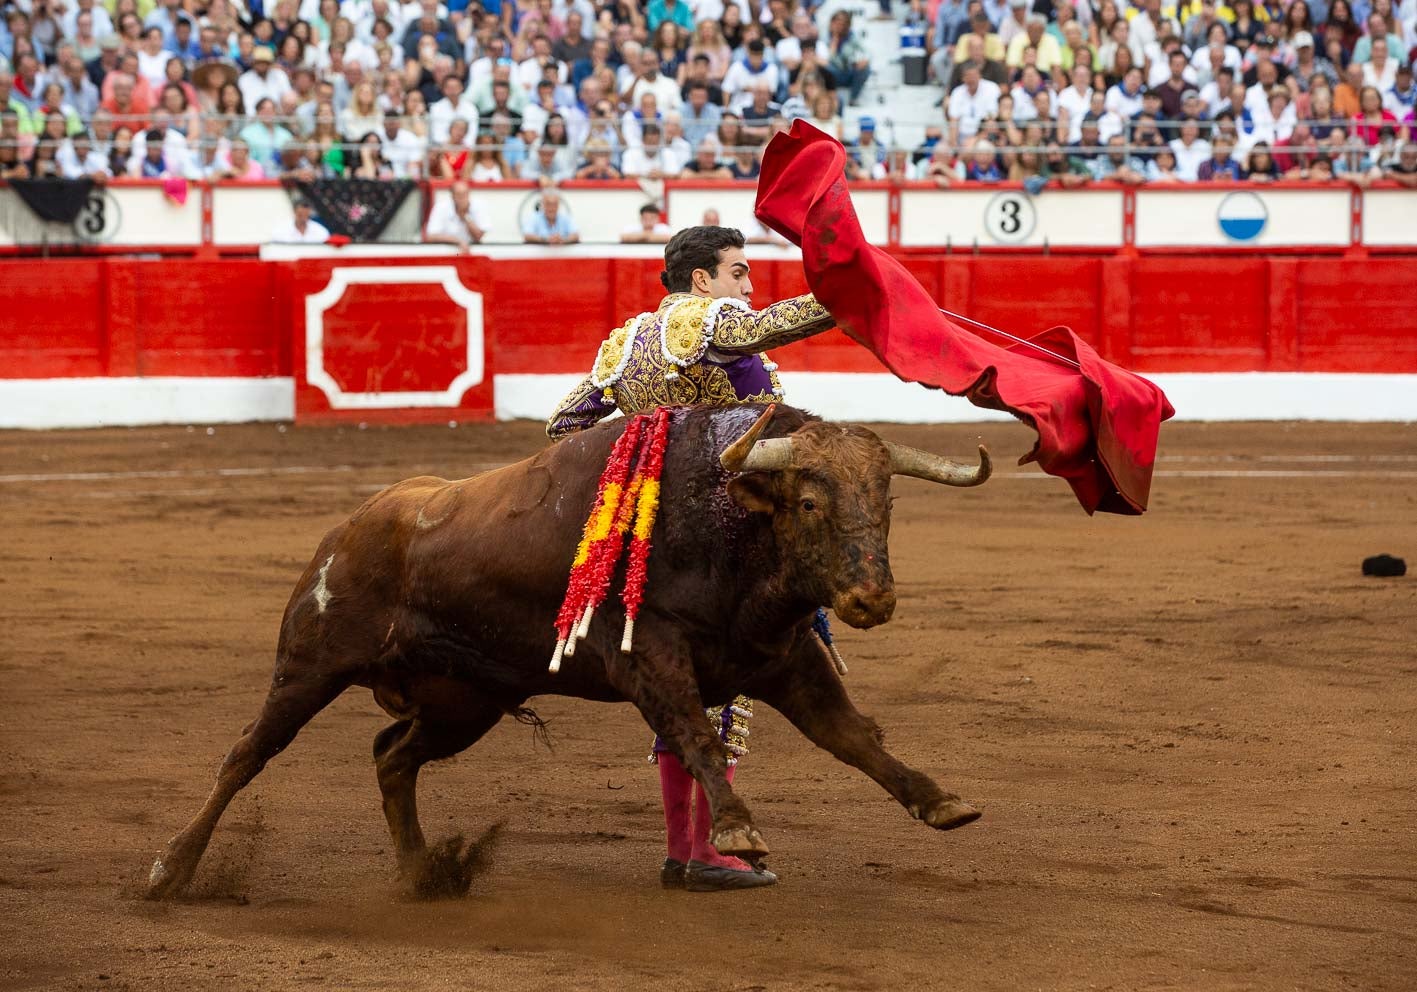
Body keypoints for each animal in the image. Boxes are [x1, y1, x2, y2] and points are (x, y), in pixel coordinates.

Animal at [143, 402, 986, 901]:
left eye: (886, 503)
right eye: (809, 502)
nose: (870, 600)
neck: (726, 528)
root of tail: (355, 523)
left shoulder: (784, 660)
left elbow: (852, 737)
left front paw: (940, 799)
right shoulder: (650, 661)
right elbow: (697, 739)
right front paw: (739, 831)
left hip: (464, 700)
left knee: (392, 756)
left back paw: (423, 872)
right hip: (309, 665)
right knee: (246, 755)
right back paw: (170, 869)